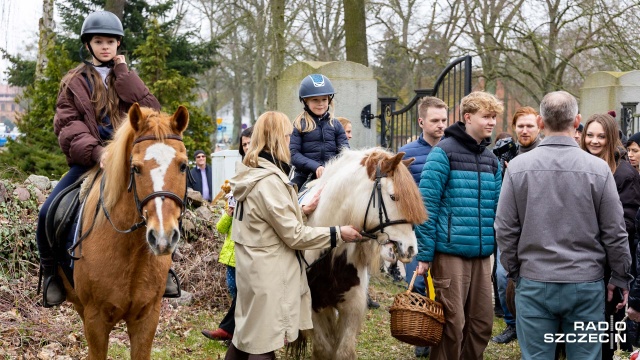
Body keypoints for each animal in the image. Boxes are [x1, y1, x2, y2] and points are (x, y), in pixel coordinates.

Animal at [59, 102, 190, 358]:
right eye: (136, 169)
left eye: (183, 165)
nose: (162, 237)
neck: (131, 253)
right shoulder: (95, 321)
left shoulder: (147, 318)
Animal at [302, 148, 428, 358]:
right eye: (393, 197)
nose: (411, 249)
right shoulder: (312, 309)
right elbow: (323, 349)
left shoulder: (351, 308)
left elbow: (343, 351)